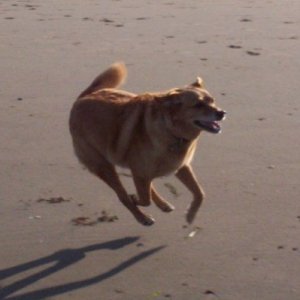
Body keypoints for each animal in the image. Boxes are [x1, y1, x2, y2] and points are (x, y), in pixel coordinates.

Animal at [69, 62, 225, 225]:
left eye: (212, 100)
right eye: (198, 105)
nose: (222, 113)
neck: (172, 132)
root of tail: (84, 97)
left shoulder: (182, 167)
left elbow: (200, 193)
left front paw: (190, 215)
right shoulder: (140, 172)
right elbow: (144, 199)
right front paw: (135, 200)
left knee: (148, 188)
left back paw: (162, 204)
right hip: (103, 167)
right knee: (123, 195)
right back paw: (142, 217)